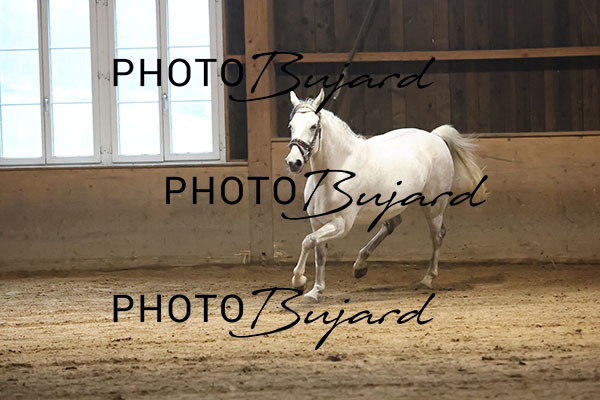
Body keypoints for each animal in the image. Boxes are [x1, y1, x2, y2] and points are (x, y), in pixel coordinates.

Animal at [284, 88, 488, 302]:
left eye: (313, 126)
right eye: (291, 126)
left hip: (434, 205)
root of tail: (435, 138)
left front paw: (299, 281)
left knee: (437, 236)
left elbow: (308, 241)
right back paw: (359, 266)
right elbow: (318, 252)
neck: (335, 171)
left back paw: (427, 279)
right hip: (390, 205)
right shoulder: (318, 222)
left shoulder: (341, 224)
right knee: (392, 225)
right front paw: (314, 291)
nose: (293, 162)